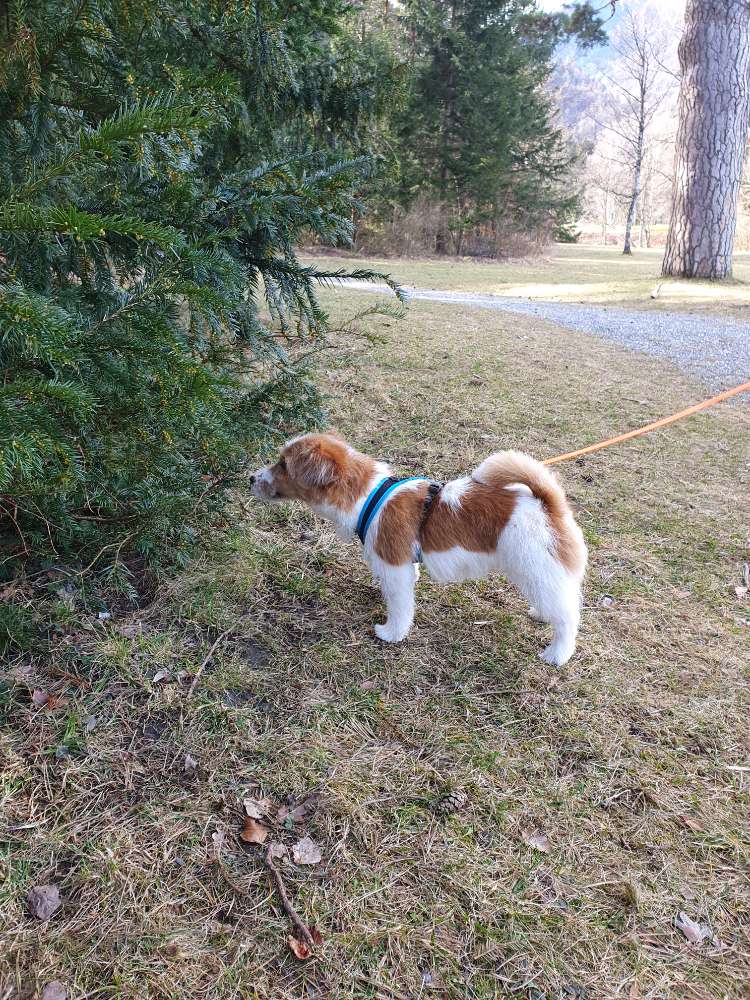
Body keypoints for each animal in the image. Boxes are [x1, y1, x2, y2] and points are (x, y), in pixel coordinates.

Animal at [250, 432, 592, 660]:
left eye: (283, 464)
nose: (251, 478)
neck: (368, 496)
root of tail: (549, 504)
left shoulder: (395, 570)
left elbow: (400, 608)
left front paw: (391, 634)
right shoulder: (405, 563)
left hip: (538, 571)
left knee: (568, 617)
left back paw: (557, 654)